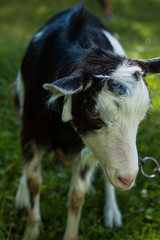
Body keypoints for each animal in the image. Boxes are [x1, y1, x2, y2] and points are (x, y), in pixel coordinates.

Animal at [13, 3, 160, 240]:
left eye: (142, 115)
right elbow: (34, 181)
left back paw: (112, 212)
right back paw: (22, 198)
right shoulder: (31, 129)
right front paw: (31, 231)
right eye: (93, 114)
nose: (128, 179)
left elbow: (77, 196)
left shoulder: (83, 144)